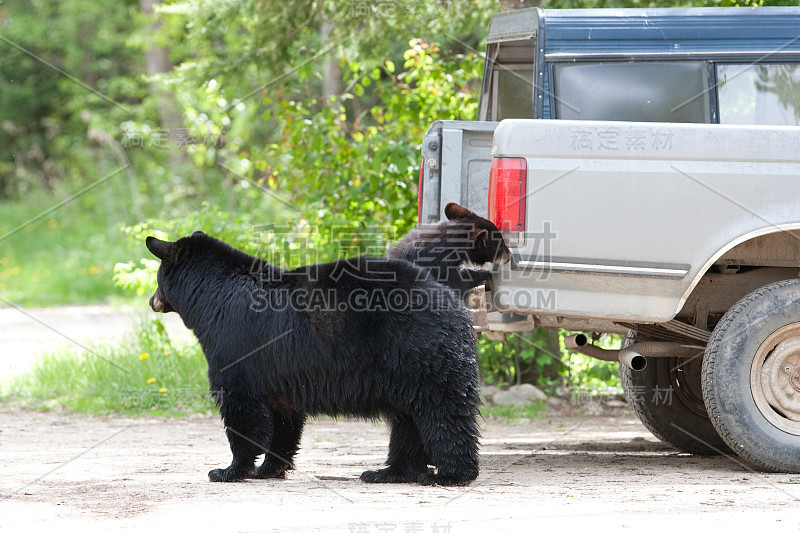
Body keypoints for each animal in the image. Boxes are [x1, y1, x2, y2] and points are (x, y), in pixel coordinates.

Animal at [146, 231, 480, 486]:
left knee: (442, 411)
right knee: (407, 420)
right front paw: (270, 469)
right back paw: (387, 472)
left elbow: (241, 409)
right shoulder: (279, 374)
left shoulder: (235, 345)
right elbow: (283, 420)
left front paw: (228, 470)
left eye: (157, 278)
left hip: (419, 352)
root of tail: (453, 301)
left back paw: (449, 475)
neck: (213, 299)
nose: (151, 301)